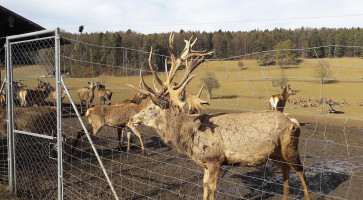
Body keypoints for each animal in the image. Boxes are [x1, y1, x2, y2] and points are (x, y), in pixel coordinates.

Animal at [128, 34, 310, 200]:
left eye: (151, 107)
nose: (131, 119)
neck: (190, 138)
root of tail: (293, 121)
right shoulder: (205, 163)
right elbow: (204, 186)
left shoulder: (215, 159)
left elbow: (212, 189)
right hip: (275, 154)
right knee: (286, 171)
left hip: (290, 148)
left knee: (301, 171)